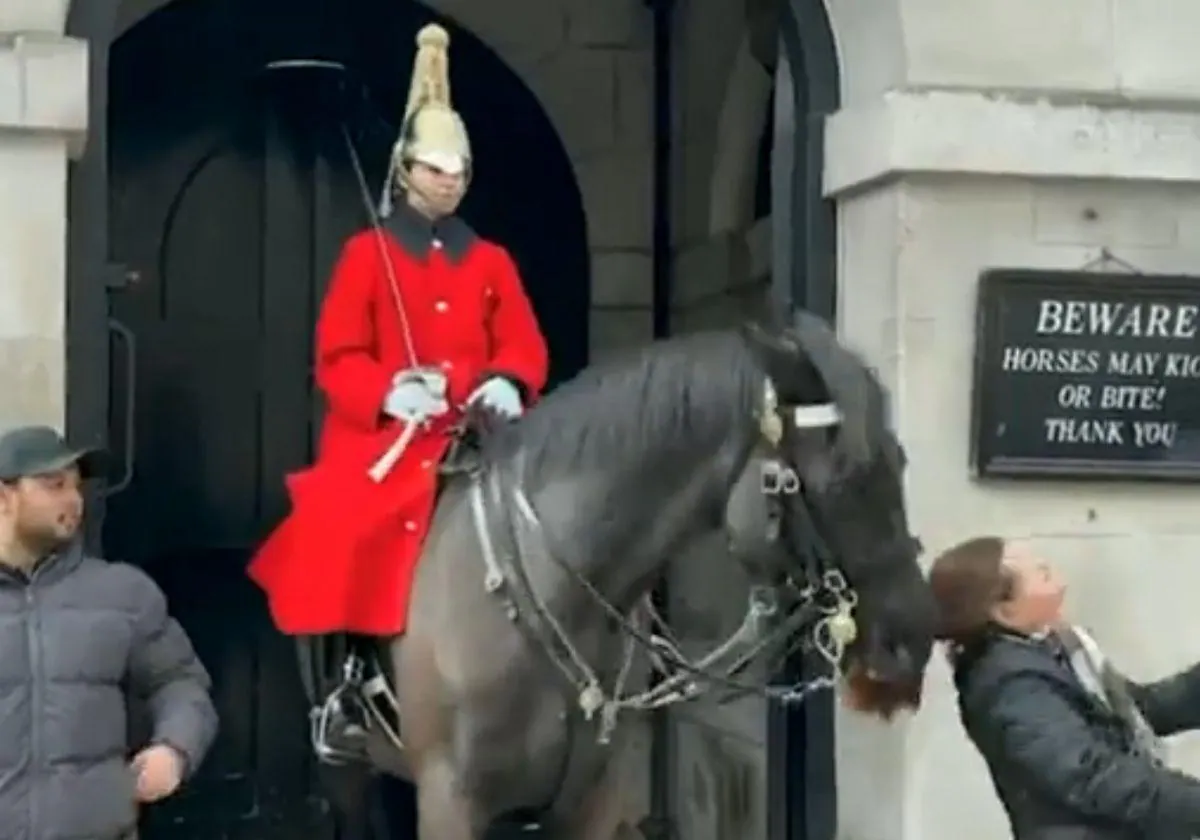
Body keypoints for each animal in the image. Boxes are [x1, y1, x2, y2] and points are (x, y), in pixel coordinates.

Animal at [309, 314, 936, 840]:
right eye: (844, 477)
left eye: (901, 461)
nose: (914, 636)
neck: (559, 597)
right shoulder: (451, 804)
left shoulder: (590, 804)